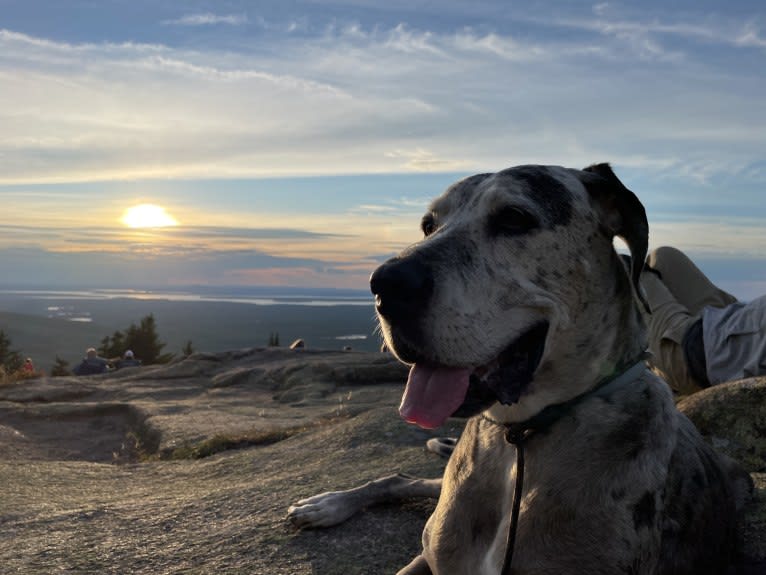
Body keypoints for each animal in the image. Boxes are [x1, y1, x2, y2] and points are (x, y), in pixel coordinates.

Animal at [286, 164, 752, 572]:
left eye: (513, 218)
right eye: (428, 225)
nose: (385, 286)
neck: (519, 439)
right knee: (405, 478)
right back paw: (326, 504)